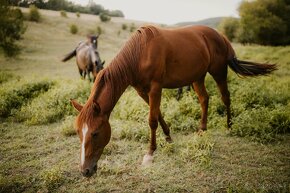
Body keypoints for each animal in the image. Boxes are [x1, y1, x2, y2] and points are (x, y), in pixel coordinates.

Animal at [70, 25, 276, 178]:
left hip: (219, 72)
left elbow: (152, 120)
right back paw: (202, 129)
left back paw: (229, 126)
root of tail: (221, 36)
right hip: (197, 77)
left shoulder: (155, 88)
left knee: (225, 97)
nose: (85, 171)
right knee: (204, 99)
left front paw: (150, 153)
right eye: (79, 132)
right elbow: (158, 114)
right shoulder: (142, 91)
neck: (140, 53)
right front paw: (168, 137)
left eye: (95, 133)